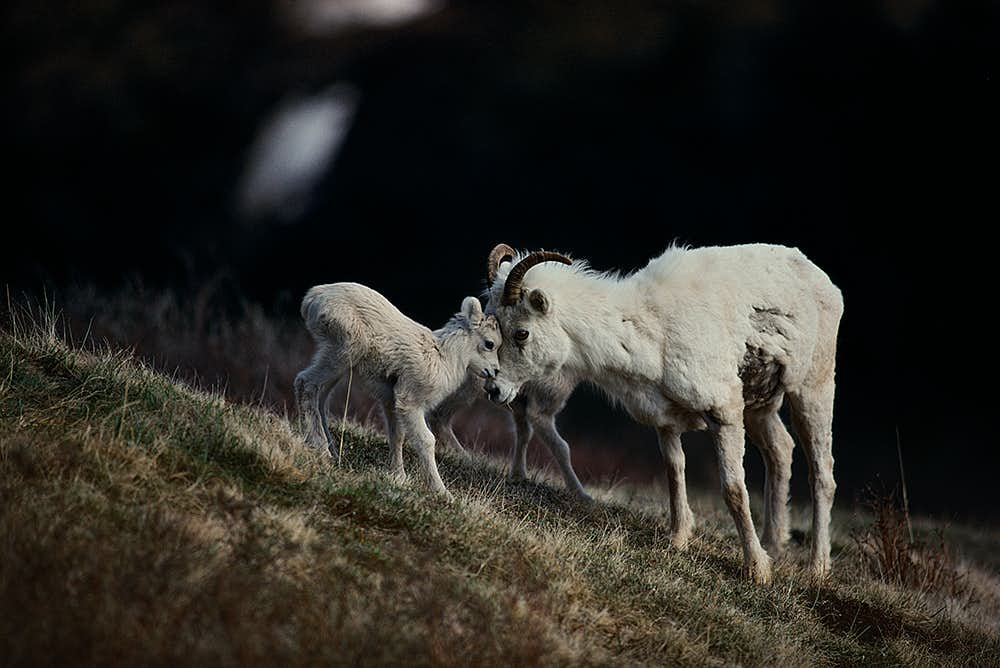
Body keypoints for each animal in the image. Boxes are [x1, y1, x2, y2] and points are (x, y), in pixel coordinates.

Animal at [294, 282, 504, 496]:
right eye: (490, 344)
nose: (494, 371)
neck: (443, 357)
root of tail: (313, 298)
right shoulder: (411, 402)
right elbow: (427, 440)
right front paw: (442, 492)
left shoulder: (391, 400)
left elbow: (397, 435)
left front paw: (399, 477)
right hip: (343, 352)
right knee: (305, 383)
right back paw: (322, 449)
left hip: (341, 363)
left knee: (320, 398)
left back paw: (332, 452)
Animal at [484, 243, 844, 580]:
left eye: (521, 332)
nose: (494, 390)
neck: (650, 333)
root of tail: (823, 281)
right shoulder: (666, 421)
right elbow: (674, 472)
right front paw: (678, 539)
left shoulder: (724, 412)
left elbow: (733, 489)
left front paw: (757, 570)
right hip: (759, 408)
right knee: (780, 450)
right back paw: (774, 544)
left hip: (812, 389)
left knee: (822, 472)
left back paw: (817, 567)